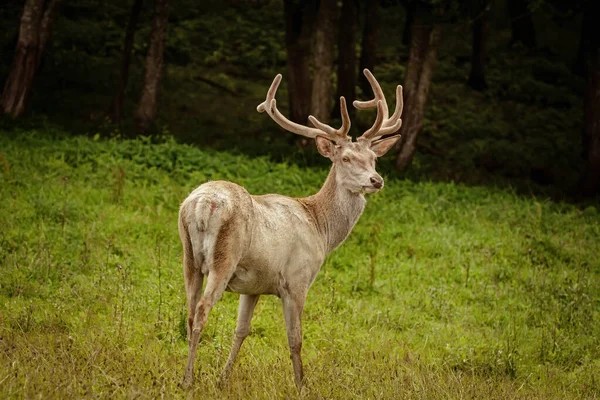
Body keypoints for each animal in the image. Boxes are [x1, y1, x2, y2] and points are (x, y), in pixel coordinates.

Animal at [178, 69, 404, 390]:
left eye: (374, 159)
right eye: (345, 158)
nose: (376, 180)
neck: (320, 227)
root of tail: (200, 205)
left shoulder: (254, 285)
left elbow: (241, 330)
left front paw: (223, 379)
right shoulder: (297, 279)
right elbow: (295, 339)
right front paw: (302, 384)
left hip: (189, 258)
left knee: (187, 311)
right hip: (224, 257)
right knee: (200, 311)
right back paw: (188, 380)